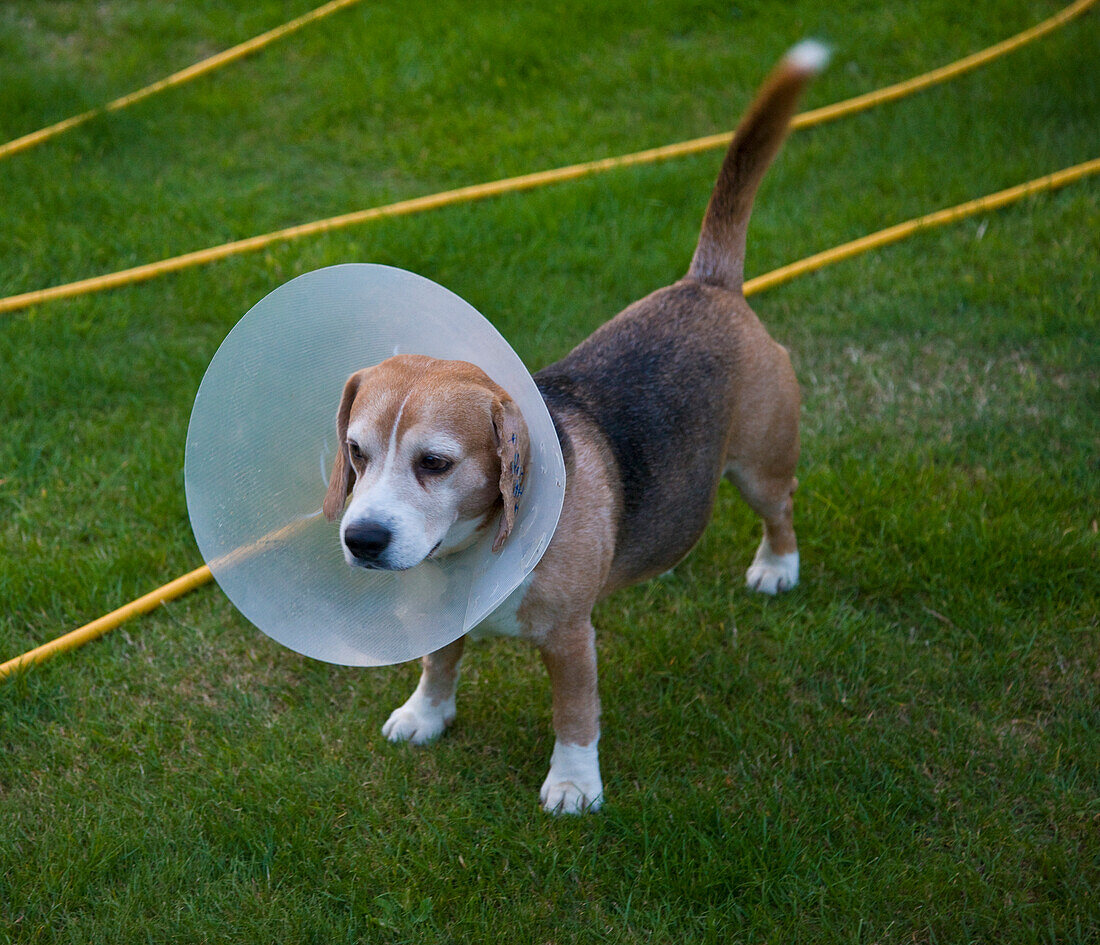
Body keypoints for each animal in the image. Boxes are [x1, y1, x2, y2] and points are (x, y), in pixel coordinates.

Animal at [321, 42, 827, 814]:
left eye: (435, 462)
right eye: (356, 451)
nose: (363, 539)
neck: (472, 552)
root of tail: (706, 284)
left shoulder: (568, 638)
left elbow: (575, 714)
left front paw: (572, 783)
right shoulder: (445, 619)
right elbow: (441, 662)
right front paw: (425, 714)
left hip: (760, 465)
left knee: (780, 509)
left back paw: (778, 566)